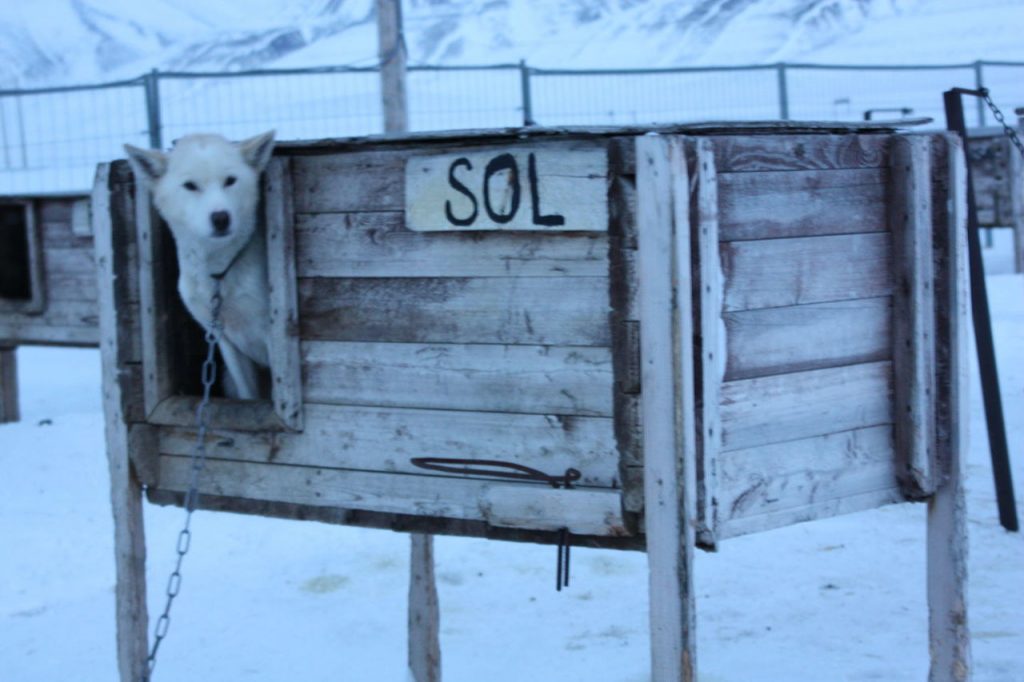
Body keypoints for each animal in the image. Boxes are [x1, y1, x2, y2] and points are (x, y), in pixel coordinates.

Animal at [124, 131, 276, 399]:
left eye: (230, 181)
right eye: (190, 186)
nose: (221, 217)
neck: (218, 273)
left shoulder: (270, 334)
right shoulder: (225, 340)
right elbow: (248, 396)